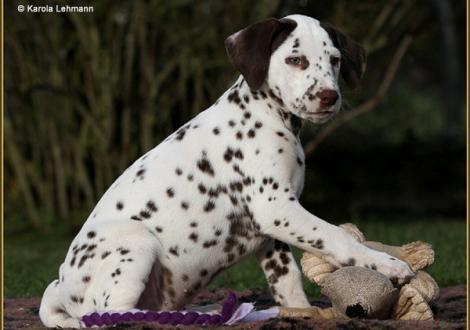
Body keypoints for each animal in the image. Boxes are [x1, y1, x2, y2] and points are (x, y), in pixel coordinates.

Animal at [40, 14, 414, 328]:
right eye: (295, 60)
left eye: (335, 60)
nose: (328, 96)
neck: (267, 115)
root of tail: (58, 288)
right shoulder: (277, 208)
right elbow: (336, 235)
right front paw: (387, 265)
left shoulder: (274, 230)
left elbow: (288, 279)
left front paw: (300, 311)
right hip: (136, 241)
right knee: (111, 314)